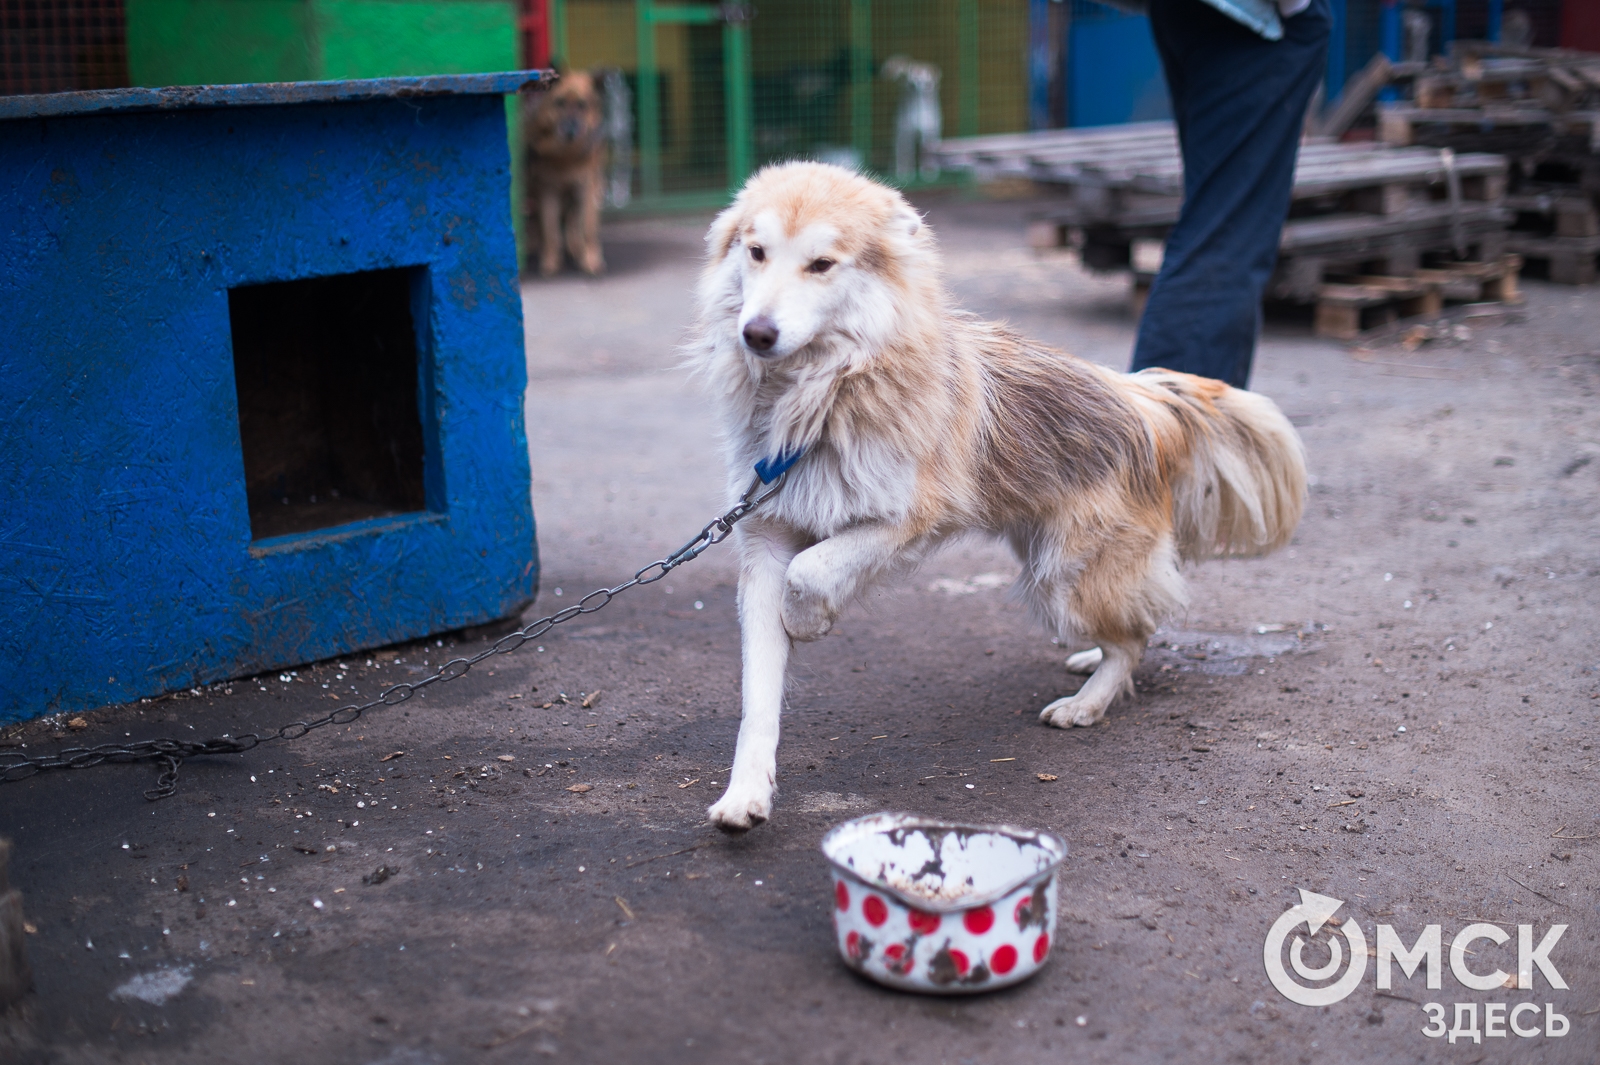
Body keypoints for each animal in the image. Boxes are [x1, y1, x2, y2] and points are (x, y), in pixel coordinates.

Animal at [524, 69, 604, 275]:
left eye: (582, 105)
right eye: (559, 103)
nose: (569, 130)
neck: (566, 157)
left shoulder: (586, 188)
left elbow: (588, 228)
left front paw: (590, 260)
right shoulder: (548, 191)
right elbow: (550, 230)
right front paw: (550, 261)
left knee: (572, 222)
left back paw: (576, 248)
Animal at [694, 166, 1305, 831]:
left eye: (822, 264)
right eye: (756, 252)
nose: (756, 333)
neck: (818, 398)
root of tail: (1142, 399)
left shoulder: (908, 520)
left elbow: (812, 569)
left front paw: (808, 620)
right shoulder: (765, 539)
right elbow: (759, 689)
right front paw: (746, 793)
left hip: (1060, 578)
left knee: (1137, 638)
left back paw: (1087, 702)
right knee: (1131, 625)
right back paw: (1088, 661)